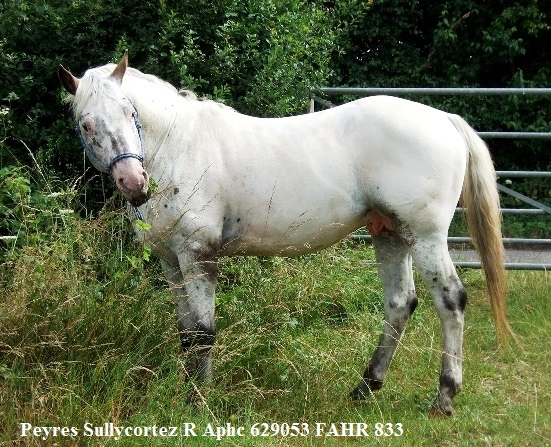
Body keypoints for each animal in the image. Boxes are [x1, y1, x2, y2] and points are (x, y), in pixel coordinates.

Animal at [58, 50, 512, 414]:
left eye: (129, 112)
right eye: (86, 124)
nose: (134, 184)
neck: (179, 145)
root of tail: (444, 120)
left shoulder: (197, 253)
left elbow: (204, 333)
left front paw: (198, 403)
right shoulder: (172, 261)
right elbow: (186, 333)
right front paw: (185, 393)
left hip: (426, 237)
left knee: (451, 301)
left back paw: (444, 398)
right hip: (390, 234)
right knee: (401, 303)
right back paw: (365, 388)